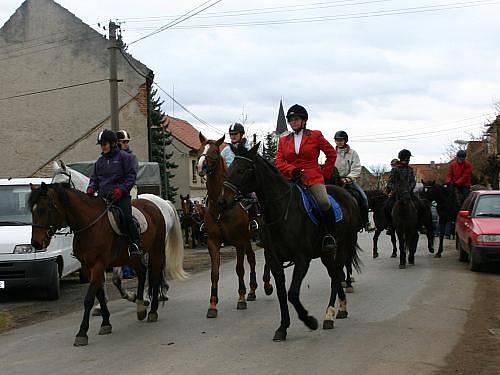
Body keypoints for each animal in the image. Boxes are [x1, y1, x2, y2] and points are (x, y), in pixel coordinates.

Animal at [28, 182, 188, 346]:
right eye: (32, 211)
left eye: (44, 209)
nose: (36, 243)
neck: (90, 224)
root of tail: (157, 204)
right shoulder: (89, 266)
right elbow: (99, 293)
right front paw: (106, 322)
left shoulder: (99, 264)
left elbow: (89, 298)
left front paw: (82, 333)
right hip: (132, 257)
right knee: (143, 273)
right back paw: (140, 307)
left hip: (156, 250)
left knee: (155, 276)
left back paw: (153, 310)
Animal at [51, 160, 188, 312]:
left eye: (64, 184)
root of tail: (164, 202)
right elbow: (101, 281)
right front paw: (101, 305)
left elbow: (116, 279)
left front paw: (132, 296)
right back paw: (160, 291)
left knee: (155, 266)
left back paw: (150, 295)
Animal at [195, 134, 274, 318]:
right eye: (200, 150)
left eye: (215, 152)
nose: (200, 166)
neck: (221, 206)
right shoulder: (213, 242)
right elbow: (214, 273)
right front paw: (213, 305)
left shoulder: (238, 242)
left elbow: (239, 269)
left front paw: (241, 298)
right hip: (248, 239)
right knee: (252, 259)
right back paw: (252, 290)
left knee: (266, 257)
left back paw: (266, 285)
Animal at [225, 145, 362, 344]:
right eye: (229, 169)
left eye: (242, 170)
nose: (223, 200)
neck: (281, 211)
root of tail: (346, 195)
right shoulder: (274, 260)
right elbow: (282, 294)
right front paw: (282, 328)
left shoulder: (302, 259)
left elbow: (292, 293)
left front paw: (309, 321)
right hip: (326, 254)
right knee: (335, 275)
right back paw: (339, 309)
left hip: (343, 246)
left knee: (337, 275)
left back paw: (329, 315)